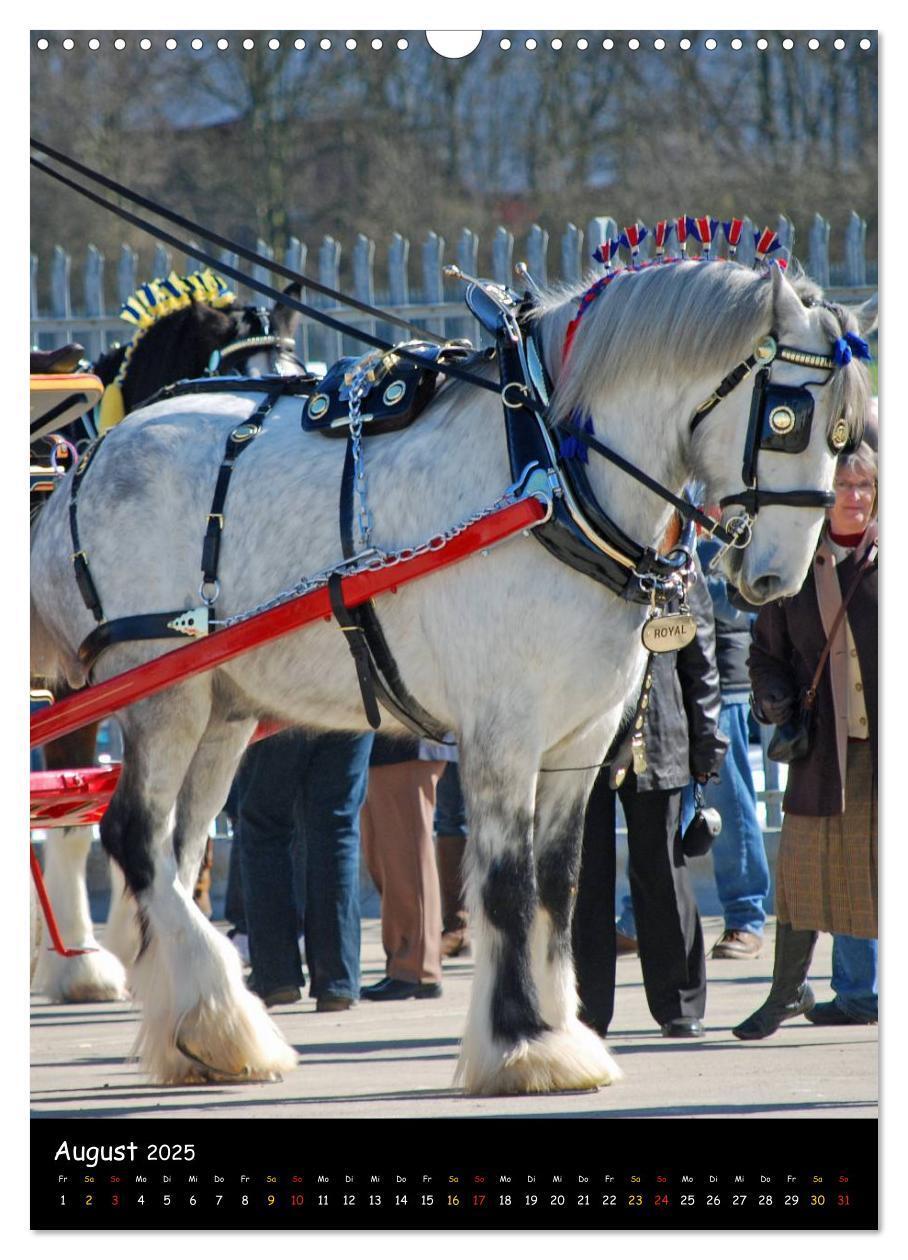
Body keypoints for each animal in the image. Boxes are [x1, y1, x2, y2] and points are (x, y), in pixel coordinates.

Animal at [30, 258, 871, 1093]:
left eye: (847, 435)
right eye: (787, 418)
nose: (777, 577)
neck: (549, 473)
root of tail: (88, 464)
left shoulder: (579, 742)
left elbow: (557, 885)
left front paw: (562, 1030)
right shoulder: (502, 731)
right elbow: (506, 882)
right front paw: (524, 1039)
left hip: (219, 709)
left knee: (176, 850)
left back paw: (202, 1029)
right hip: (159, 692)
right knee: (132, 837)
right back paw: (196, 1007)